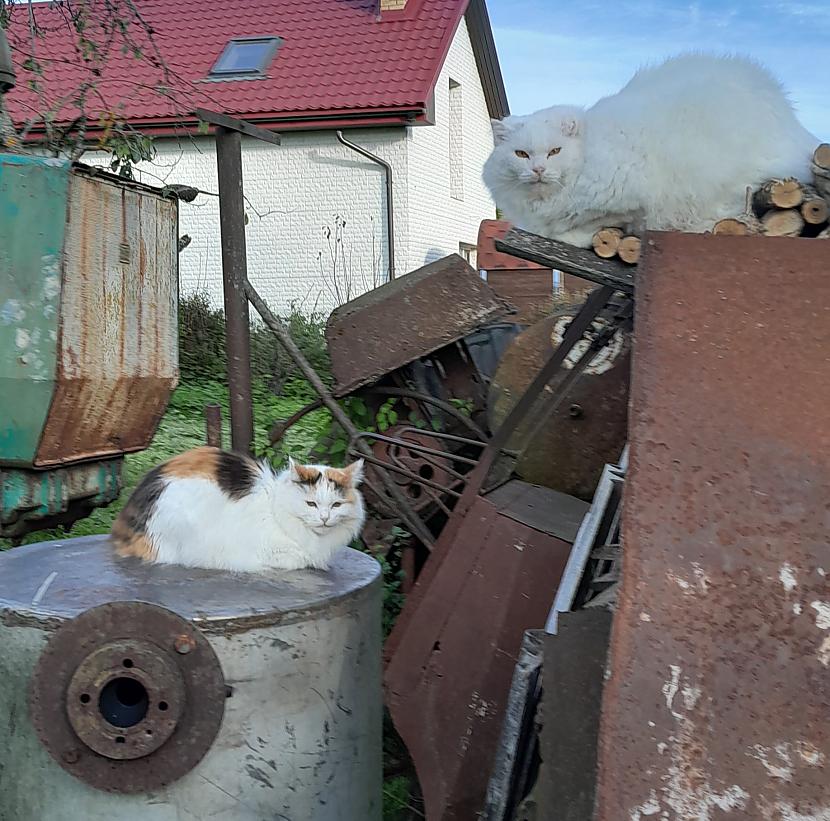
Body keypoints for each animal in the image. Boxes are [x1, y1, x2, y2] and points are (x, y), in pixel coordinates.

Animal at [484, 53, 824, 247]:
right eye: (522, 155)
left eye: (555, 151)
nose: (539, 170)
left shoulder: (631, 200)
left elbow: (592, 225)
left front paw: (575, 236)